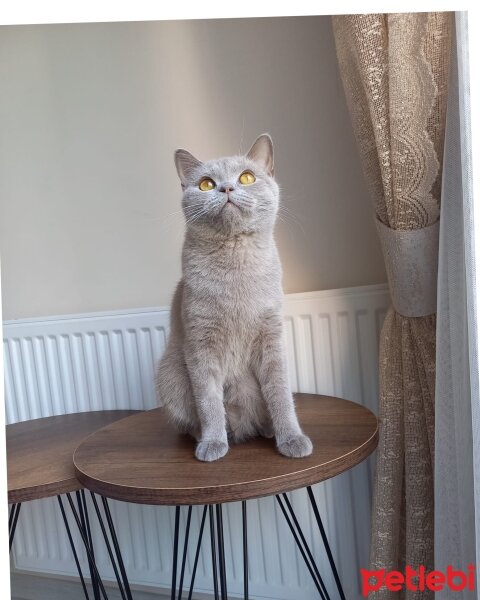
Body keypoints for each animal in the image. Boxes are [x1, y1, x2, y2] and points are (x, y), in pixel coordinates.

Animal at [156, 136, 314, 462]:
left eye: (247, 177)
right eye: (205, 184)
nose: (226, 188)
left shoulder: (271, 336)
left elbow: (281, 395)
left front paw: (291, 439)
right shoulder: (200, 345)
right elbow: (209, 402)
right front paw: (214, 443)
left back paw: (266, 430)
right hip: (170, 375)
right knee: (191, 420)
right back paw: (211, 436)